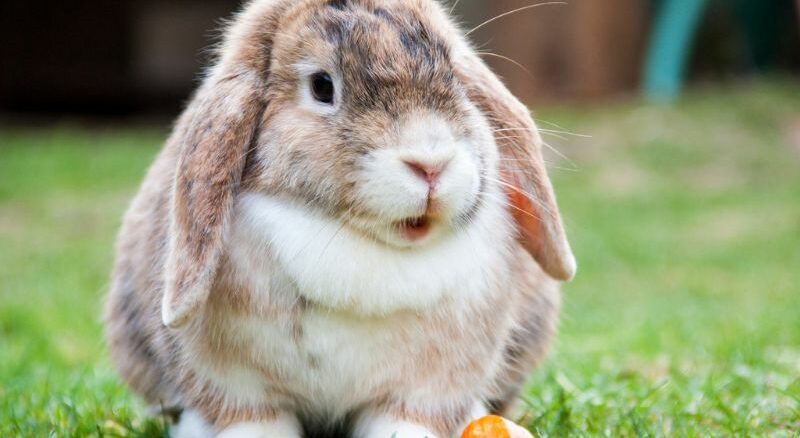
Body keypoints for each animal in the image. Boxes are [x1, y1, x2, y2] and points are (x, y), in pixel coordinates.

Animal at [104, 0, 576, 438]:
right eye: (322, 85)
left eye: (455, 77)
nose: (431, 163)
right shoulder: (238, 387)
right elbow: (252, 420)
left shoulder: (427, 387)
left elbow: (407, 420)